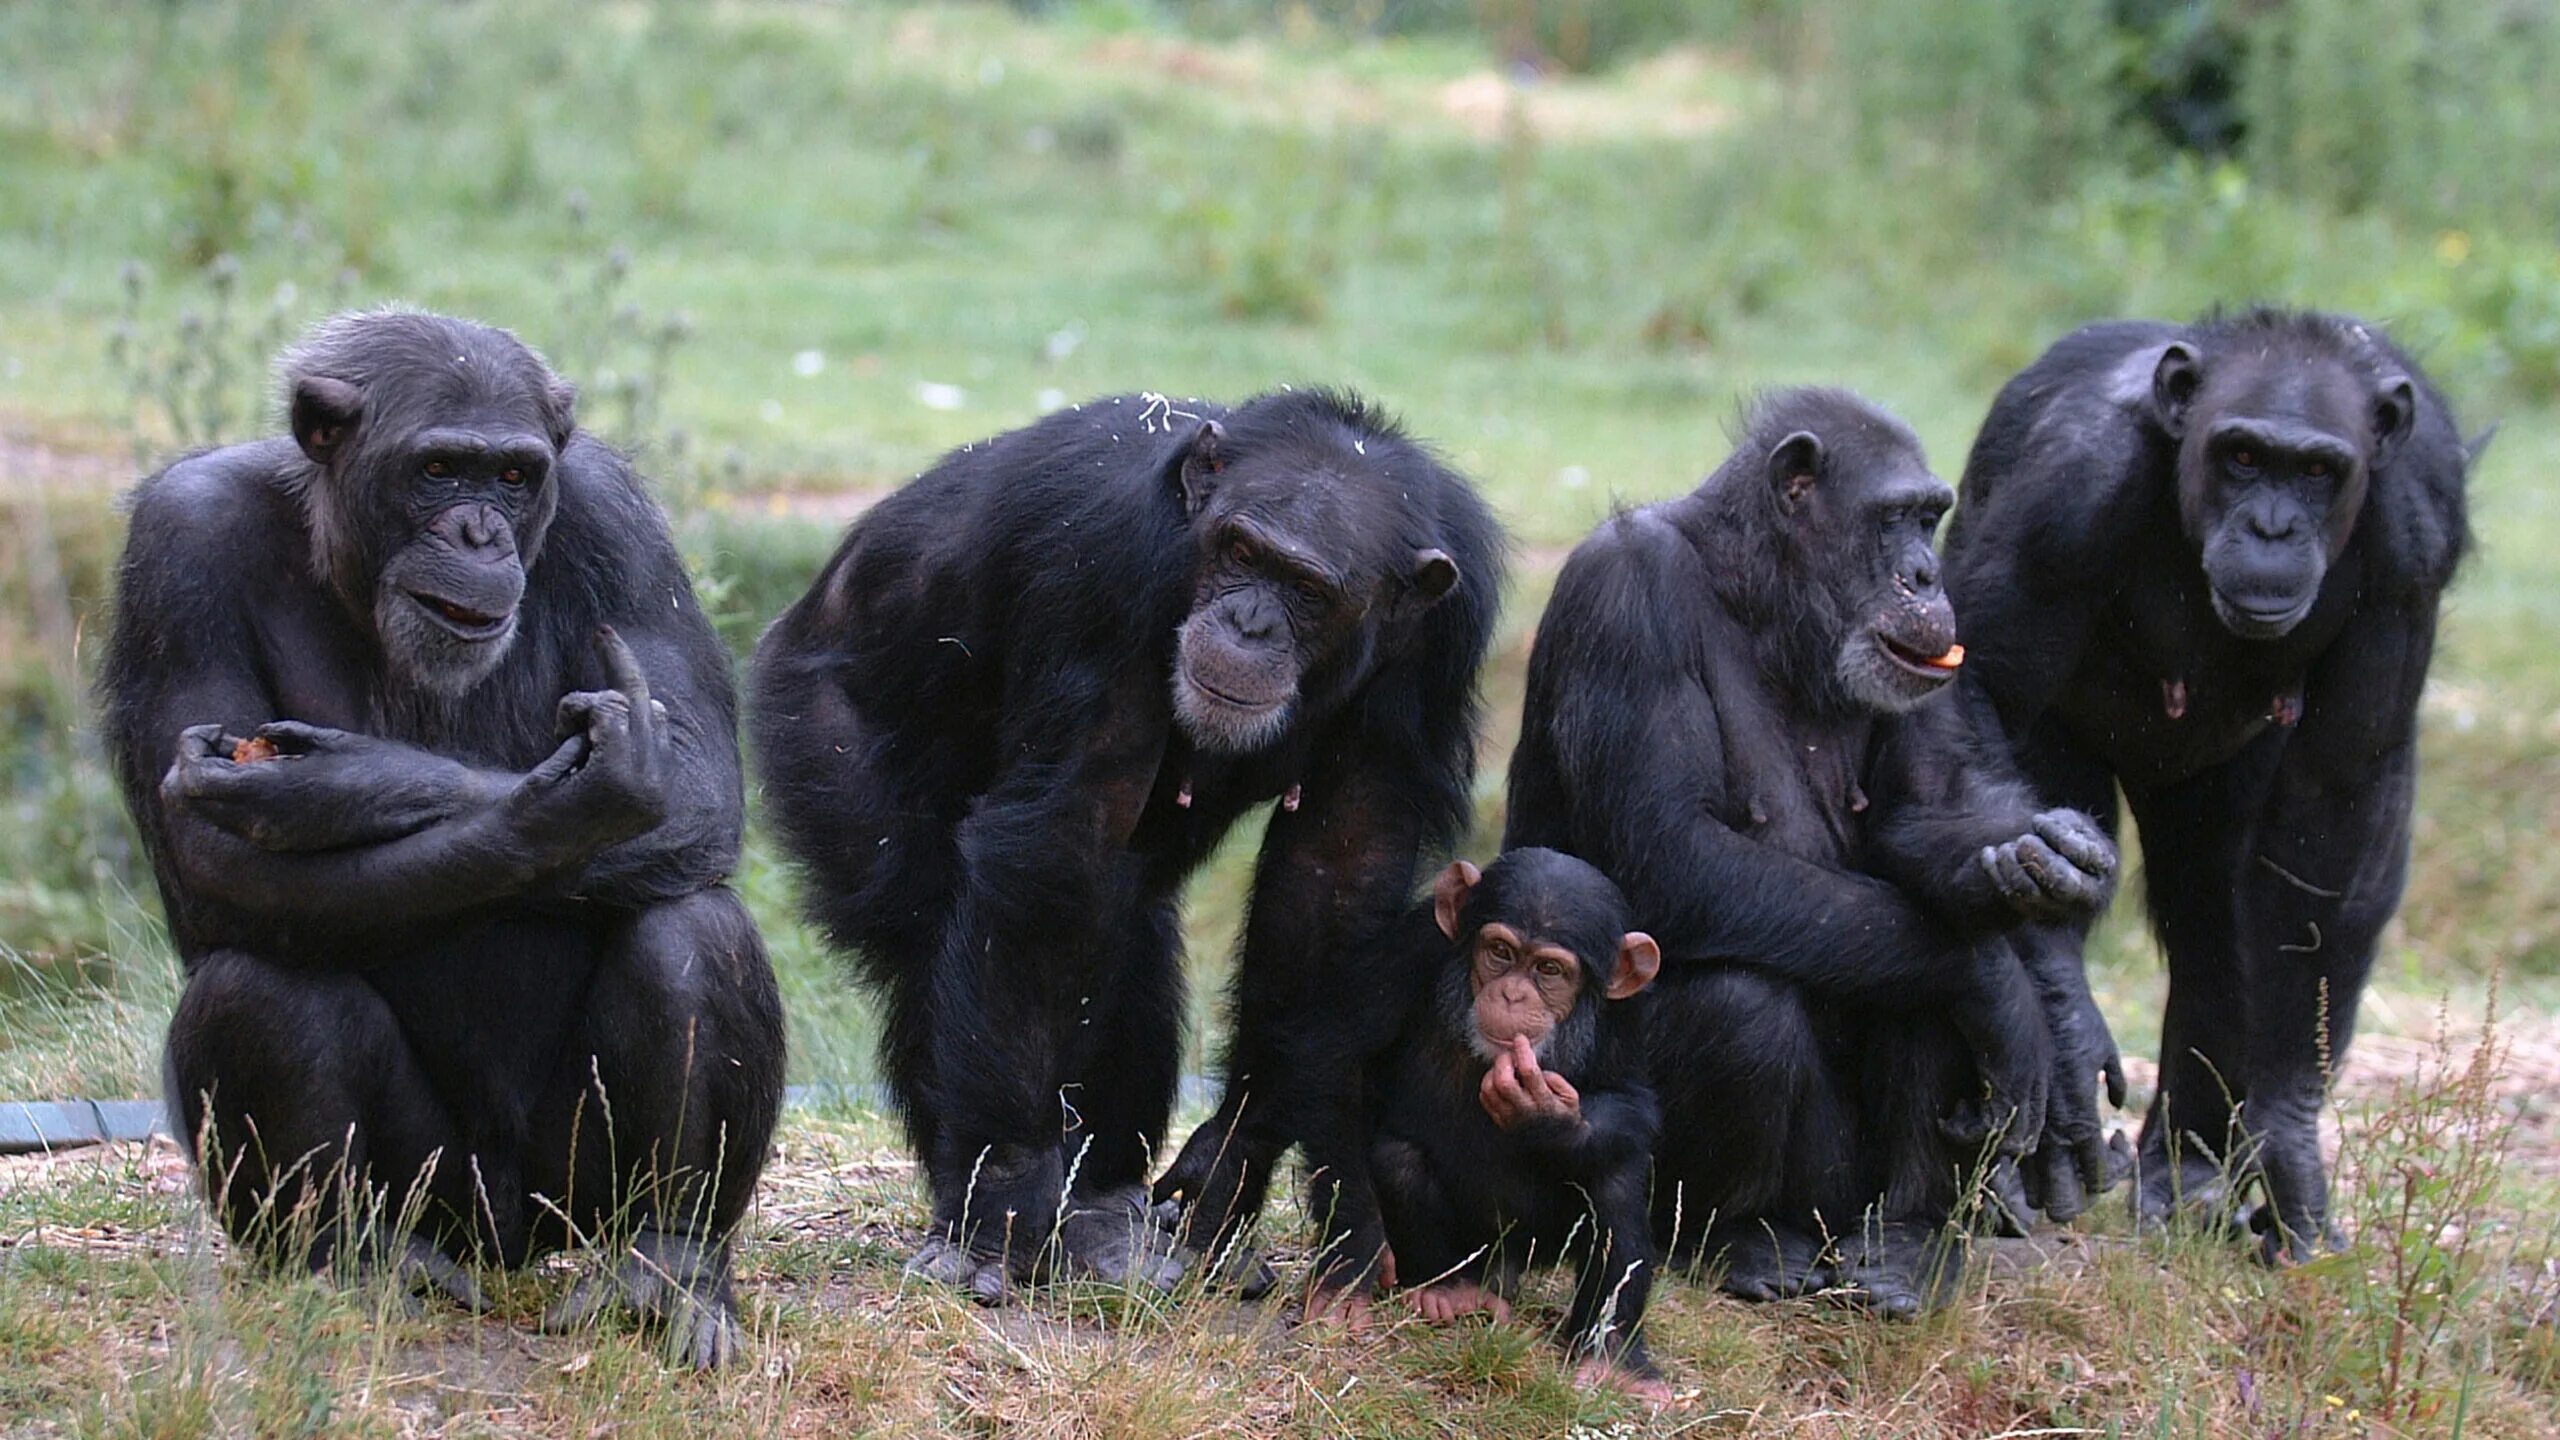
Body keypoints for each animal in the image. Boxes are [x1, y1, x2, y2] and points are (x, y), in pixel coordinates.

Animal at [99, 308, 783, 1363]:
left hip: (564, 1198)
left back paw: (668, 1266)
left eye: (511, 475)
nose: (478, 530)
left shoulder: (617, 518)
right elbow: (217, 864)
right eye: (436, 470)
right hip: (435, 1191)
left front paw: (343, 782)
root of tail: (502, 1245)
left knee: (694, 929)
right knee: (259, 984)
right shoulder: (179, 542)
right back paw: (351, 1262)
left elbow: (693, 782)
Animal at [747, 381, 1495, 1291]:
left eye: (1309, 589)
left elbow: (1337, 867)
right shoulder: (1109, 563)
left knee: (1127, 928)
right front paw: (1002, 1200)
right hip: (819, 732)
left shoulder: (1443, 636)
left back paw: (1102, 1208)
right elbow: (1064, 836)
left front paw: (1231, 1157)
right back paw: (982, 1207)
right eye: (1242, 553)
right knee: (937, 932)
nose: (1249, 622)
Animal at [1300, 845, 1679, 1393]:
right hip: (1472, 1249)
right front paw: (1349, 1270)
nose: (1513, 995)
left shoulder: (1625, 1013)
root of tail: (1498, 1270)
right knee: (1399, 1160)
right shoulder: (1413, 947)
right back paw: (1445, 1291)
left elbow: (1631, 1100)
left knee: (1614, 1182)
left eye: (1549, 969)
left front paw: (1546, 1115)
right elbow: (1338, 1061)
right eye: (1500, 951)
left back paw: (1615, 1360)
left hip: (1533, 1245)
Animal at [1495, 386, 2119, 1306]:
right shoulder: (1624, 596)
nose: (1927, 574)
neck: (1762, 602)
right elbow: (1674, 853)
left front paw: (2033, 866)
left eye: (1932, 520)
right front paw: (2006, 991)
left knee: (1914, 975)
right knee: (1749, 1001)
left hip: (1851, 1198)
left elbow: (1923, 814)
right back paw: (1737, 1238)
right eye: (1894, 519)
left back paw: (1908, 1241)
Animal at [1945, 304, 2467, 1255]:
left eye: (2319, 471)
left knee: (2218, 916)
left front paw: (2288, 1136)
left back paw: (2185, 1178)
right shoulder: (2070, 487)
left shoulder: (2419, 532)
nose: (2273, 528)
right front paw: (2065, 1034)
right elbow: (1981, 687)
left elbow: (2340, 792)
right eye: (2244, 456)